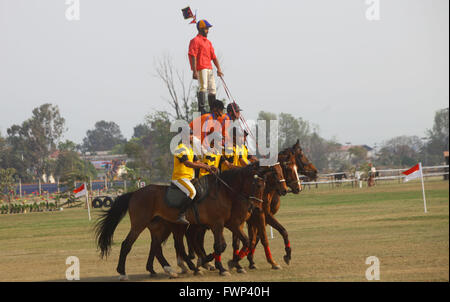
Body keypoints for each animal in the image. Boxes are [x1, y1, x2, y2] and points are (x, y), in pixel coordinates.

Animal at [93, 162, 280, 280]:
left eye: (264, 185)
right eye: (258, 185)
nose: (256, 208)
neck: (224, 192)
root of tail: (135, 193)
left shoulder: (229, 224)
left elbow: (245, 242)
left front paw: (224, 263)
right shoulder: (219, 224)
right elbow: (220, 246)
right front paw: (220, 267)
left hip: (161, 227)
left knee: (160, 247)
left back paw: (173, 269)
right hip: (140, 224)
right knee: (127, 245)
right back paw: (123, 273)